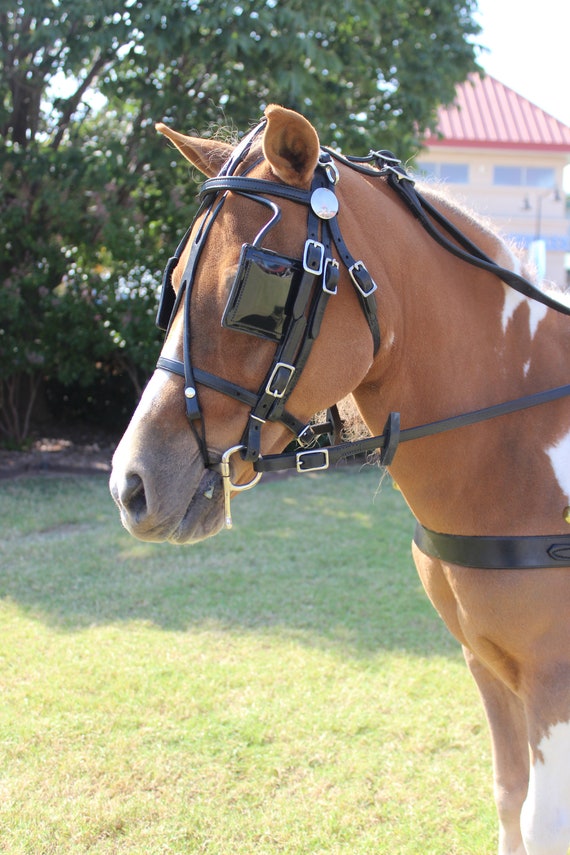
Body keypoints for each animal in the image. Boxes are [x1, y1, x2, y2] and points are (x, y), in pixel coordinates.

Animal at [110, 105, 570, 855]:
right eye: (173, 282)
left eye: (255, 287)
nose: (131, 483)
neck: (523, 439)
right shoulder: (488, 666)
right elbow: (510, 798)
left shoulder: (552, 678)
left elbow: (541, 821)